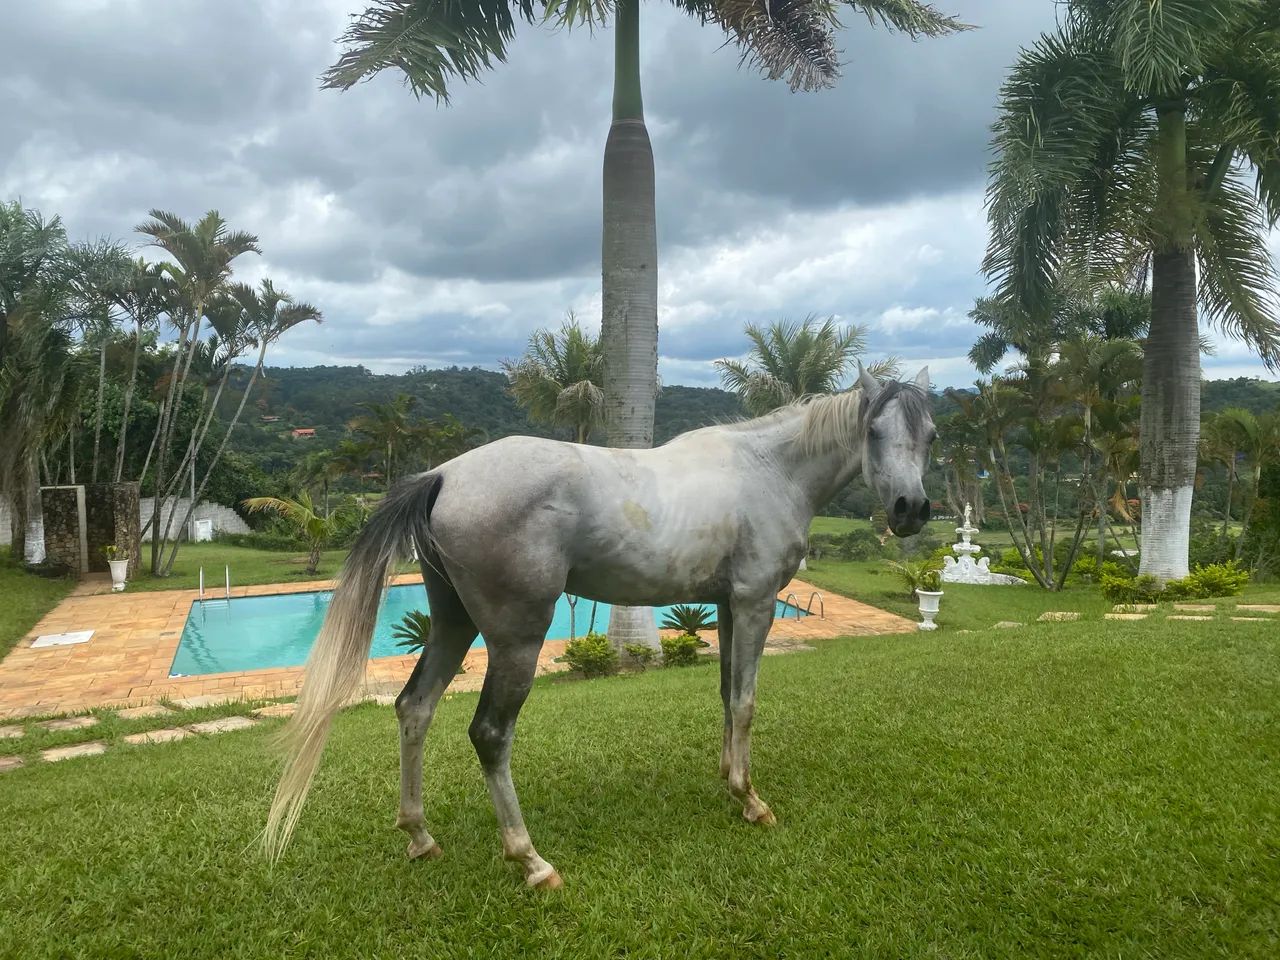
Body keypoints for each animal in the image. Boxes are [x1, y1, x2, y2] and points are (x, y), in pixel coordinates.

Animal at [262, 364, 937, 889]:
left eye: (930, 434)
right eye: (873, 431)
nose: (912, 510)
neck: (767, 469)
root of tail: (445, 475)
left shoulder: (724, 607)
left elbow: (725, 696)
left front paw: (727, 781)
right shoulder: (755, 604)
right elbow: (745, 702)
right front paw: (751, 800)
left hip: (451, 625)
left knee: (415, 708)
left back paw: (420, 837)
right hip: (516, 641)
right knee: (489, 734)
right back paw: (531, 861)